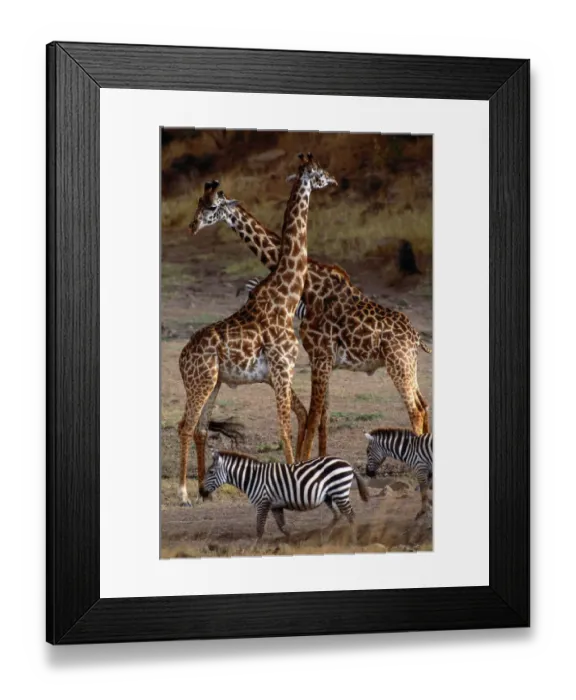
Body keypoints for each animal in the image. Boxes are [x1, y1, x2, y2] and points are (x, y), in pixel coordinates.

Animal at [177, 153, 337, 505]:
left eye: (210, 206)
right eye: (319, 173)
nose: (333, 179)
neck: (286, 297)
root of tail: (181, 358)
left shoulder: (279, 373)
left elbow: (299, 418)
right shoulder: (282, 369)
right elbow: (285, 427)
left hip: (213, 383)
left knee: (200, 428)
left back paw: (203, 490)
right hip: (200, 383)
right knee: (185, 426)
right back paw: (183, 494)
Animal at [188, 180, 431, 461]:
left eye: (212, 207)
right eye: (198, 202)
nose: (192, 226)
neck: (311, 285)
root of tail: (416, 337)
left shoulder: (320, 355)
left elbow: (314, 417)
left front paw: (304, 462)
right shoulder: (324, 359)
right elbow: (323, 417)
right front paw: (321, 459)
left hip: (398, 364)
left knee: (415, 410)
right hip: (408, 364)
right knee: (424, 404)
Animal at [199, 450, 370, 543]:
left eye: (211, 472)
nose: (201, 492)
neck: (253, 478)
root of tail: (348, 464)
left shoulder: (263, 502)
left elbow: (259, 529)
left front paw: (255, 548)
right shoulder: (275, 506)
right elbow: (283, 528)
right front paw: (291, 544)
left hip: (340, 492)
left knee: (350, 515)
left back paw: (353, 540)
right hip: (329, 495)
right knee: (338, 515)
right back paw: (325, 537)